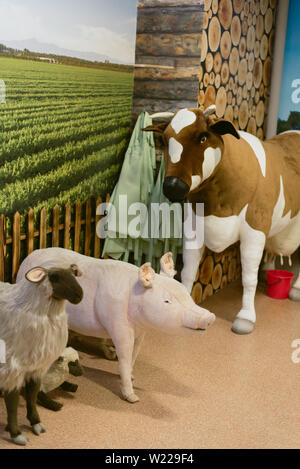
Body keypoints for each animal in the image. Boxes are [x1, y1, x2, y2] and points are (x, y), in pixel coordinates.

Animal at [17, 249, 214, 402]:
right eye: (166, 301)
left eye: (186, 294)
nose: (209, 316)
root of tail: (27, 257)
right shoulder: (118, 326)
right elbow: (125, 357)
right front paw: (133, 398)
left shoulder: (141, 332)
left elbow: (135, 353)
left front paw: (133, 377)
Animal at [144, 105, 300, 332]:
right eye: (164, 140)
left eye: (202, 137)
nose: (173, 186)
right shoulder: (192, 229)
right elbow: (188, 271)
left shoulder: (255, 230)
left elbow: (248, 278)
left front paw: (246, 318)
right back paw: (268, 271)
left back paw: (295, 290)